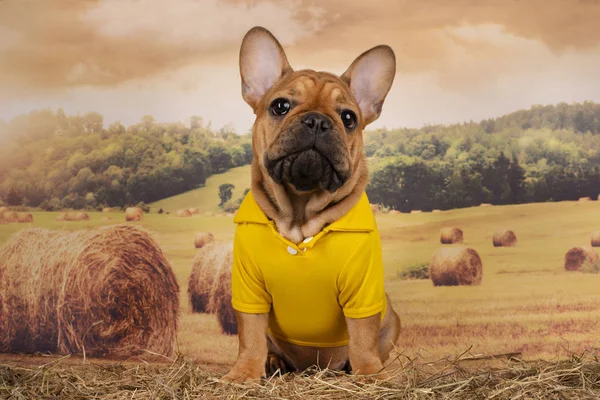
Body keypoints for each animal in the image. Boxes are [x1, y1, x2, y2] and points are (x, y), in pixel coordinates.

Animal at [220, 26, 398, 382]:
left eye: (348, 117)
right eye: (280, 105)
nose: (317, 121)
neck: (300, 215)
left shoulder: (364, 290)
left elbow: (362, 336)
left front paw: (370, 373)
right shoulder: (249, 289)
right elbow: (250, 334)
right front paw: (244, 372)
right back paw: (273, 363)